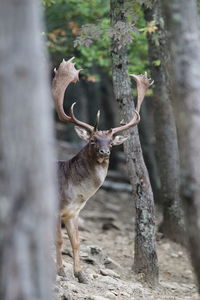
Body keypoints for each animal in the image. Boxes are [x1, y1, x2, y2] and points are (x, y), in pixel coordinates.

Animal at [51, 56, 153, 284]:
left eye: (112, 143)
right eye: (92, 140)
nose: (104, 151)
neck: (74, 193)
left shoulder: (73, 213)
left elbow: (77, 242)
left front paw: (81, 275)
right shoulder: (55, 208)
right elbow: (59, 241)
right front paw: (61, 273)